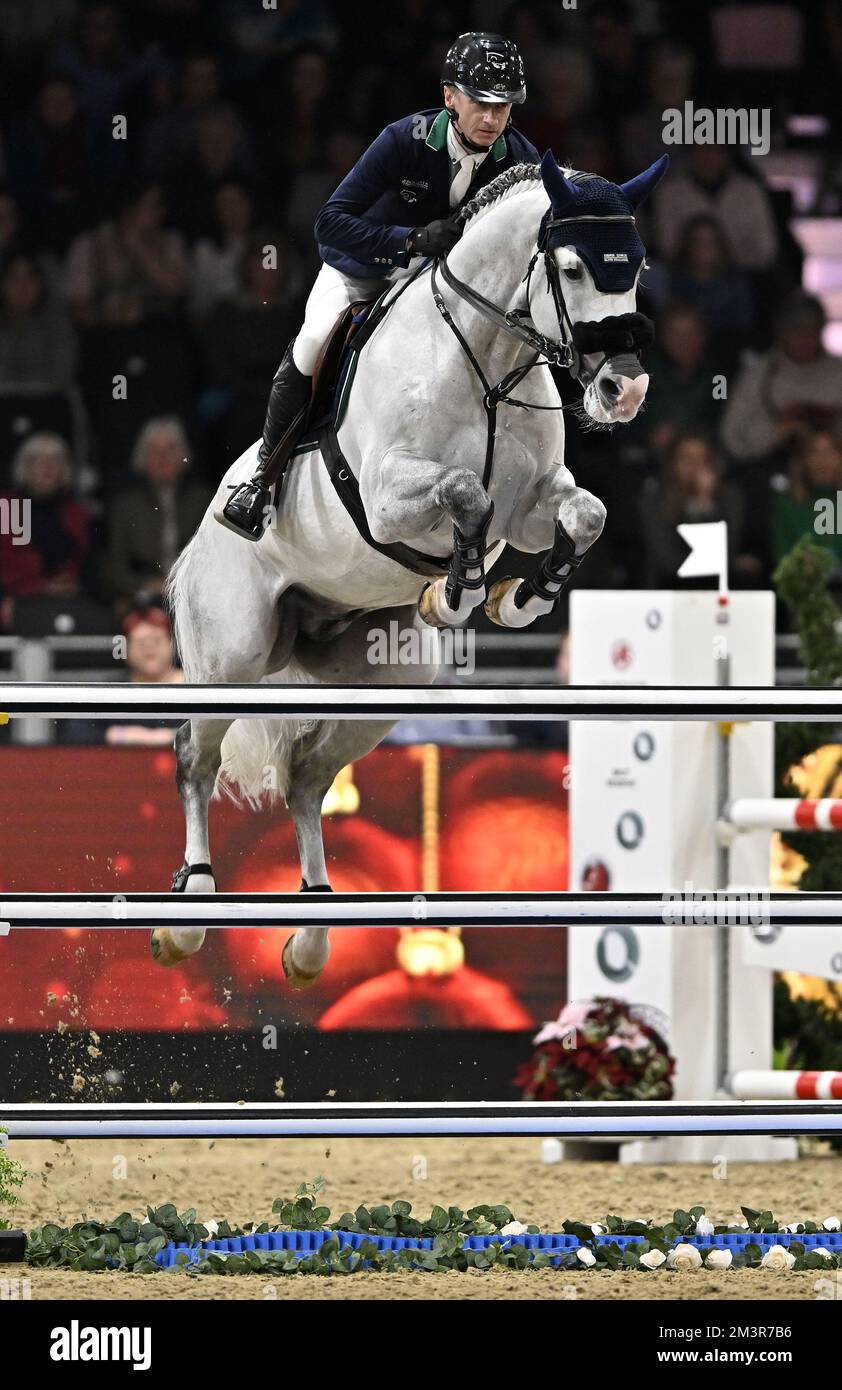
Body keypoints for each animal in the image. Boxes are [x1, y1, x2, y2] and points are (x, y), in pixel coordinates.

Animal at [158, 149, 668, 986]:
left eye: (638, 266)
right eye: (572, 267)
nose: (623, 390)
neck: (486, 361)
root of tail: (197, 543)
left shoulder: (534, 505)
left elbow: (582, 515)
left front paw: (519, 599)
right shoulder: (392, 498)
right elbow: (466, 494)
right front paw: (456, 591)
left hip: (385, 680)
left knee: (306, 778)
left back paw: (312, 932)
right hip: (233, 656)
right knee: (195, 760)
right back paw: (191, 912)